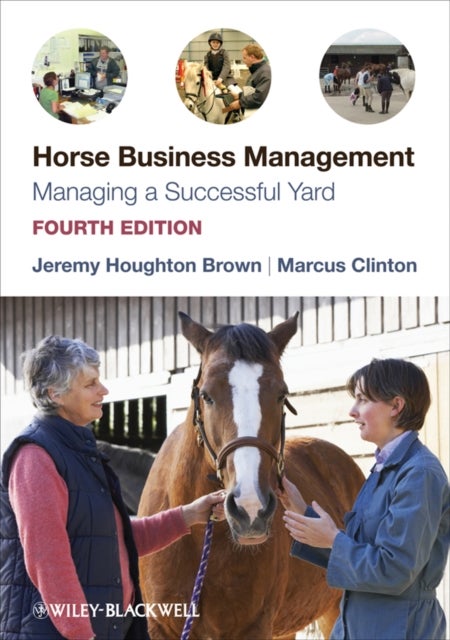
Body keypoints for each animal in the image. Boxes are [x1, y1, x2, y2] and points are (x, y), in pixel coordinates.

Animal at [138, 312, 365, 640]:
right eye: (206, 395)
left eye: (281, 394)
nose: (250, 508)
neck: (200, 541)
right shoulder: (161, 627)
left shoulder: (253, 627)